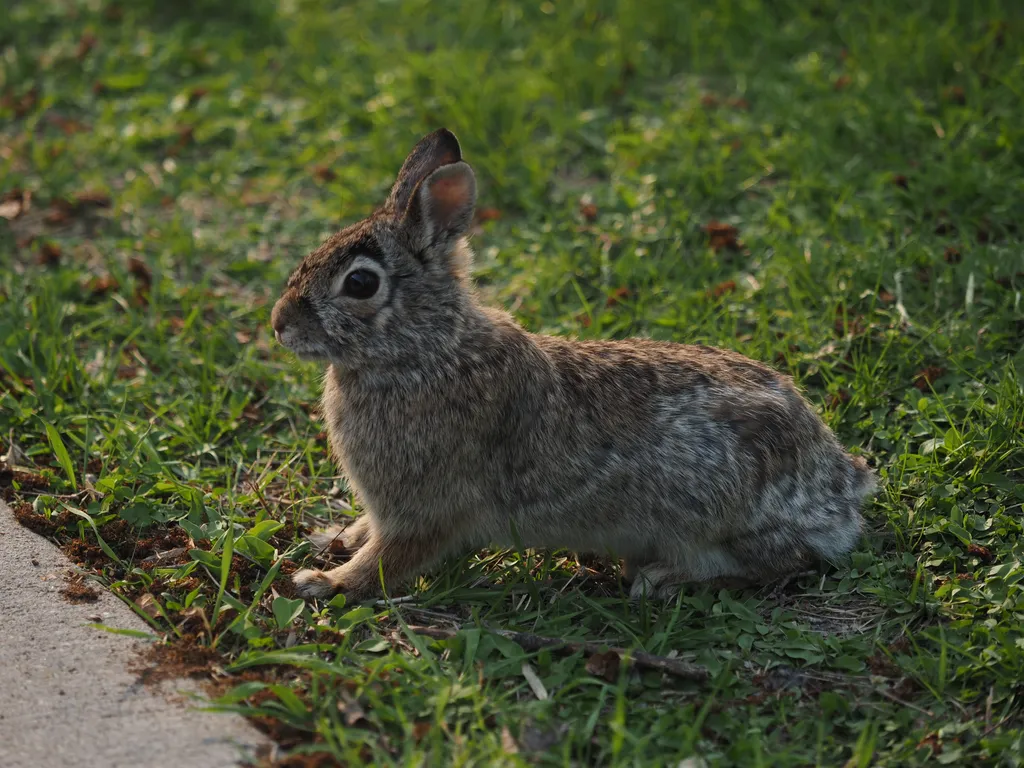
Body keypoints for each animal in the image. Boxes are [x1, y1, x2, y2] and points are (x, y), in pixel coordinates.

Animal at [272, 129, 880, 606]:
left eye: (360, 283)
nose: (279, 324)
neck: (427, 348)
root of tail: (845, 487)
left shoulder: (422, 510)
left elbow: (387, 561)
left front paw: (324, 583)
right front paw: (336, 537)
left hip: (716, 510)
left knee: (783, 562)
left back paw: (663, 579)